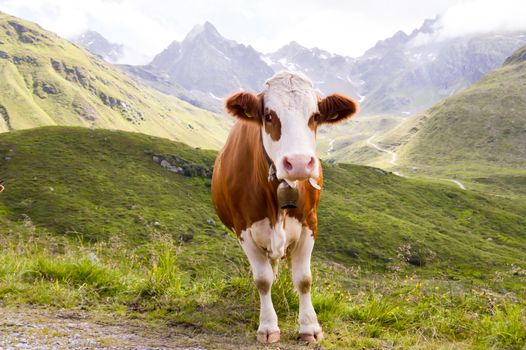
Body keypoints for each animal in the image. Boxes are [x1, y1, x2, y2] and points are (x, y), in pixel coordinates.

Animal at [212, 70, 360, 342]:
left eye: (315, 116)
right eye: (269, 116)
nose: (299, 162)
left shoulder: (310, 224)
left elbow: (304, 279)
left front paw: (309, 327)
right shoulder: (243, 229)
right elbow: (262, 280)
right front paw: (268, 326)